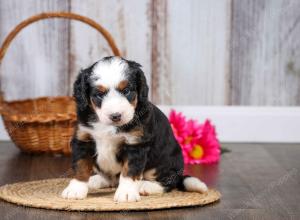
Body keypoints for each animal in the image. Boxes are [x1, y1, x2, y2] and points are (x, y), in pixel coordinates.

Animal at [61, 55, 206, 202]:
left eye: (126, 91)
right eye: (99, 94)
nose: (115, 116)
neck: (109, 127)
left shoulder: (136, 144)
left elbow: (129, 171)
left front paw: (126, 193)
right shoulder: (83, 138)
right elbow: (81, 166)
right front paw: (76, 189)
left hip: (165, 162)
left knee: (168, 182)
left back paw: (145, 186)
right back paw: (96, 180)